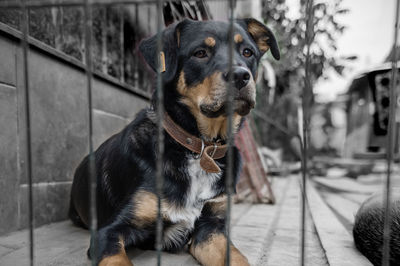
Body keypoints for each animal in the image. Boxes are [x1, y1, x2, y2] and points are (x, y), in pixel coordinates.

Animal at [69, 17, 280, 264]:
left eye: (247, 52)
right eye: (200, 53)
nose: (240, 75)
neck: (198, 148)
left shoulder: (210, 228)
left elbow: (237, 257)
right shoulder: (109, 231)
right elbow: (117, 259)